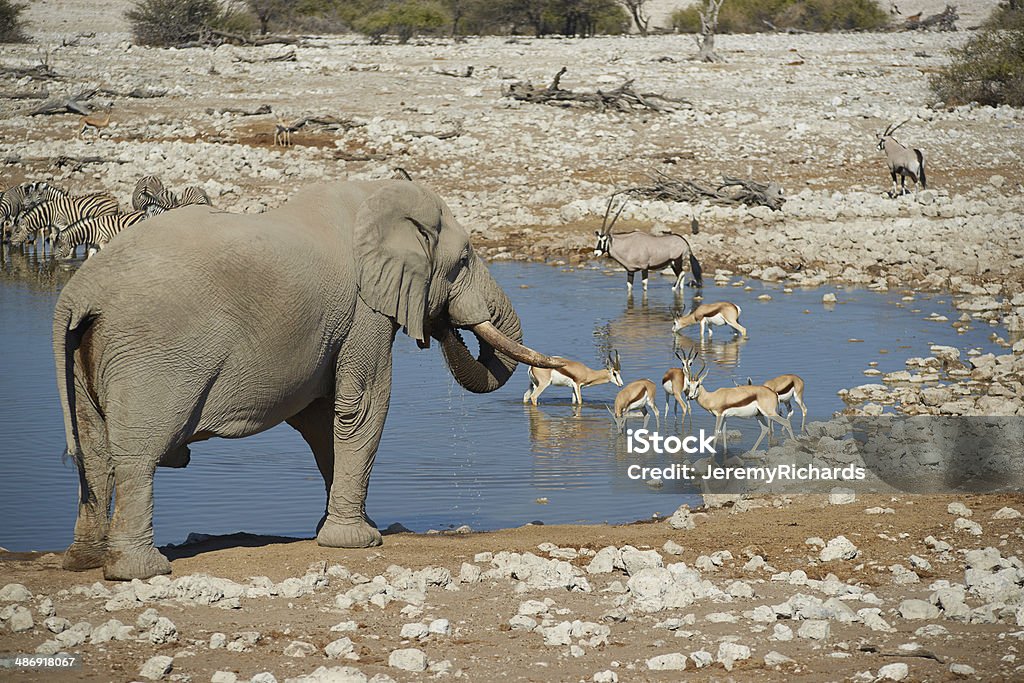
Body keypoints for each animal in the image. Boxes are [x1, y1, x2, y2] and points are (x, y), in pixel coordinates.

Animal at [51, 179, 565, 581]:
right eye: (463, 260)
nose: (440, 326)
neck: (374, 196)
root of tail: (78, 294)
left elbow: (323, 420)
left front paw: (346, 528)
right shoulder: (363, 310)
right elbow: (363, 404)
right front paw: (359, 541)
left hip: (89, 353)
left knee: (94, 454)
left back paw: (84, 562)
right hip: (151, 355)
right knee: (136, 456)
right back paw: (141, 571)